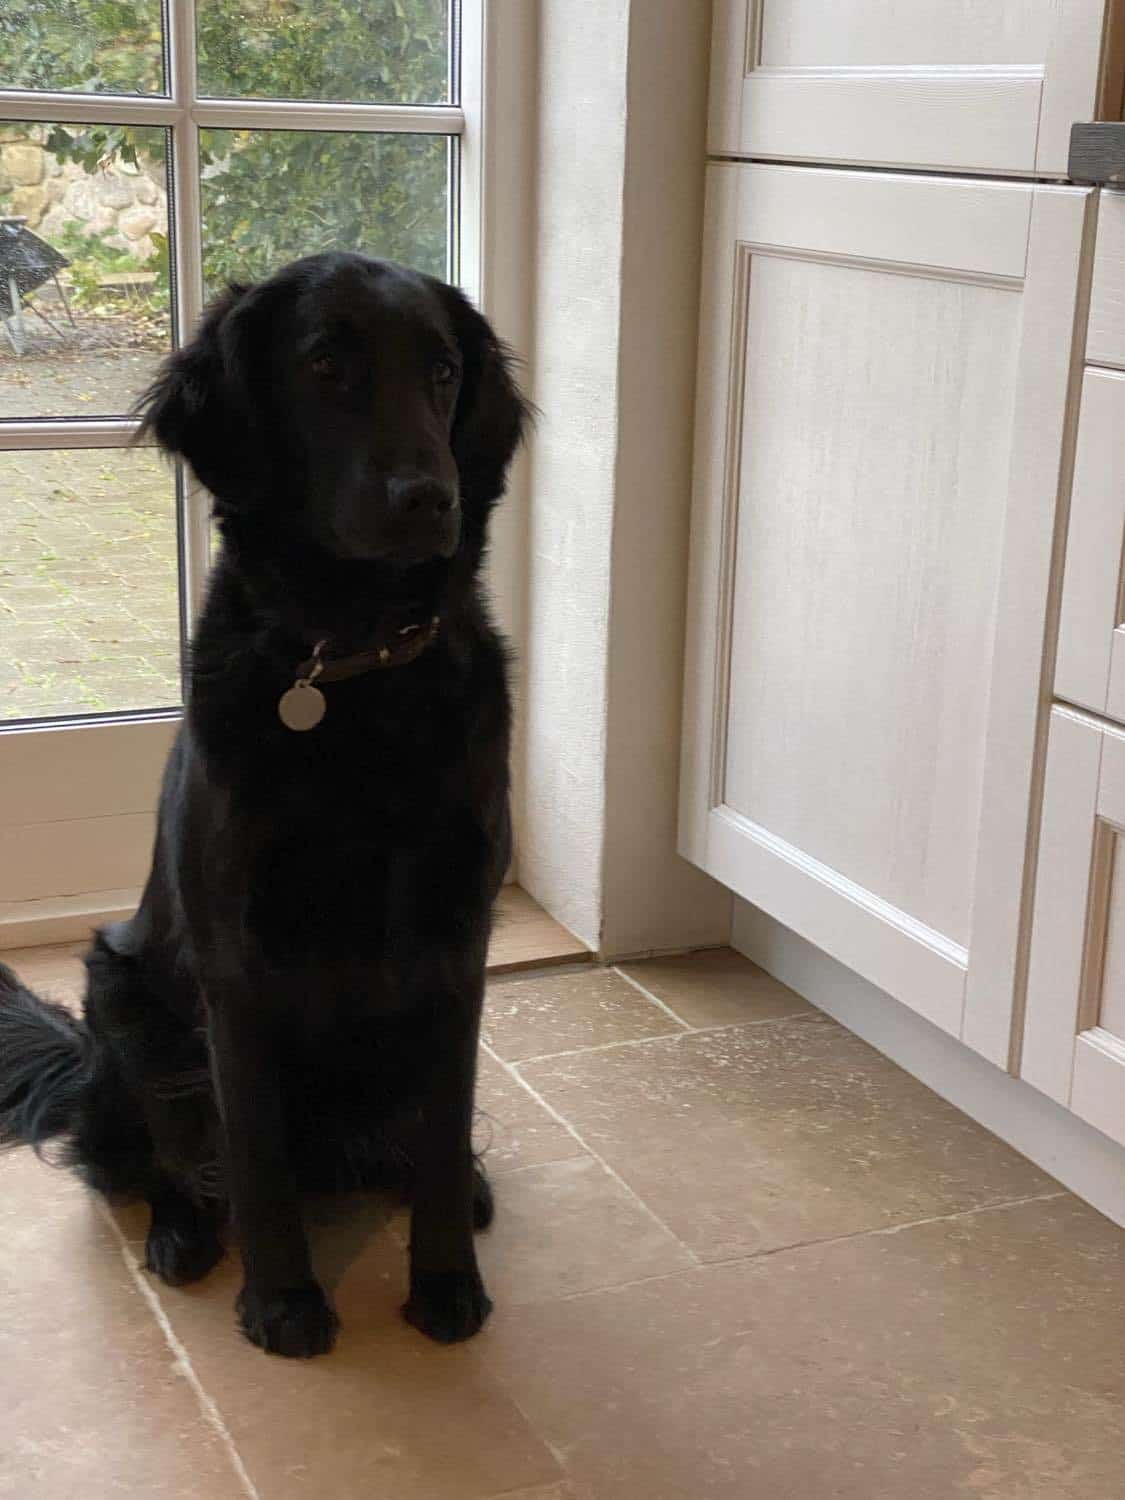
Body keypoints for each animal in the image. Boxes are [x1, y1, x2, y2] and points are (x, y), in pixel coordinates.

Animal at [0, 251, 530, 1358]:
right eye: (325, 365)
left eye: (444, 372)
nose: (431, 498)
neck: (356, 670)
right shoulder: (235, 956)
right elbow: (255, 1157)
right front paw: (283, 1302)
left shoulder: (459, 941)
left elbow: (443, 1123)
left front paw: (445, 1280)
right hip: (123, 998)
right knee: (152, 1161)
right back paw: (183, 1234)